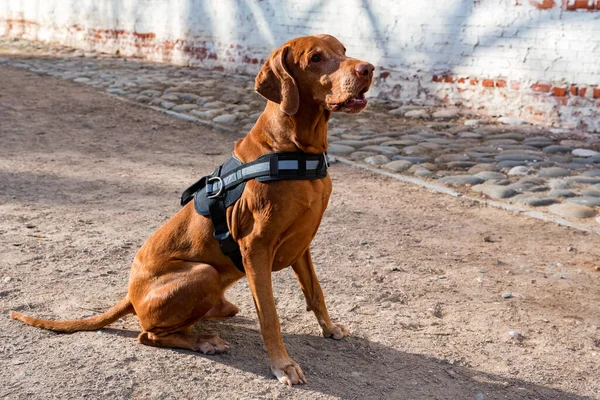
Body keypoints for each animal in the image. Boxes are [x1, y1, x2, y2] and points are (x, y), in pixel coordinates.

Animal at [9, 35, 372, 388]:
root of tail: (130, 295)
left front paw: (329, 328)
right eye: (315, 58)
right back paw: (203, 341)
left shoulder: (302, 245)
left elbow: (315, 291)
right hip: (203, 274)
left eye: (343, 50)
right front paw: (282, 365)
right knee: (149, 335)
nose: (369, 69)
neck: (296, 150)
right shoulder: (256, 249)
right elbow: (270, 315)